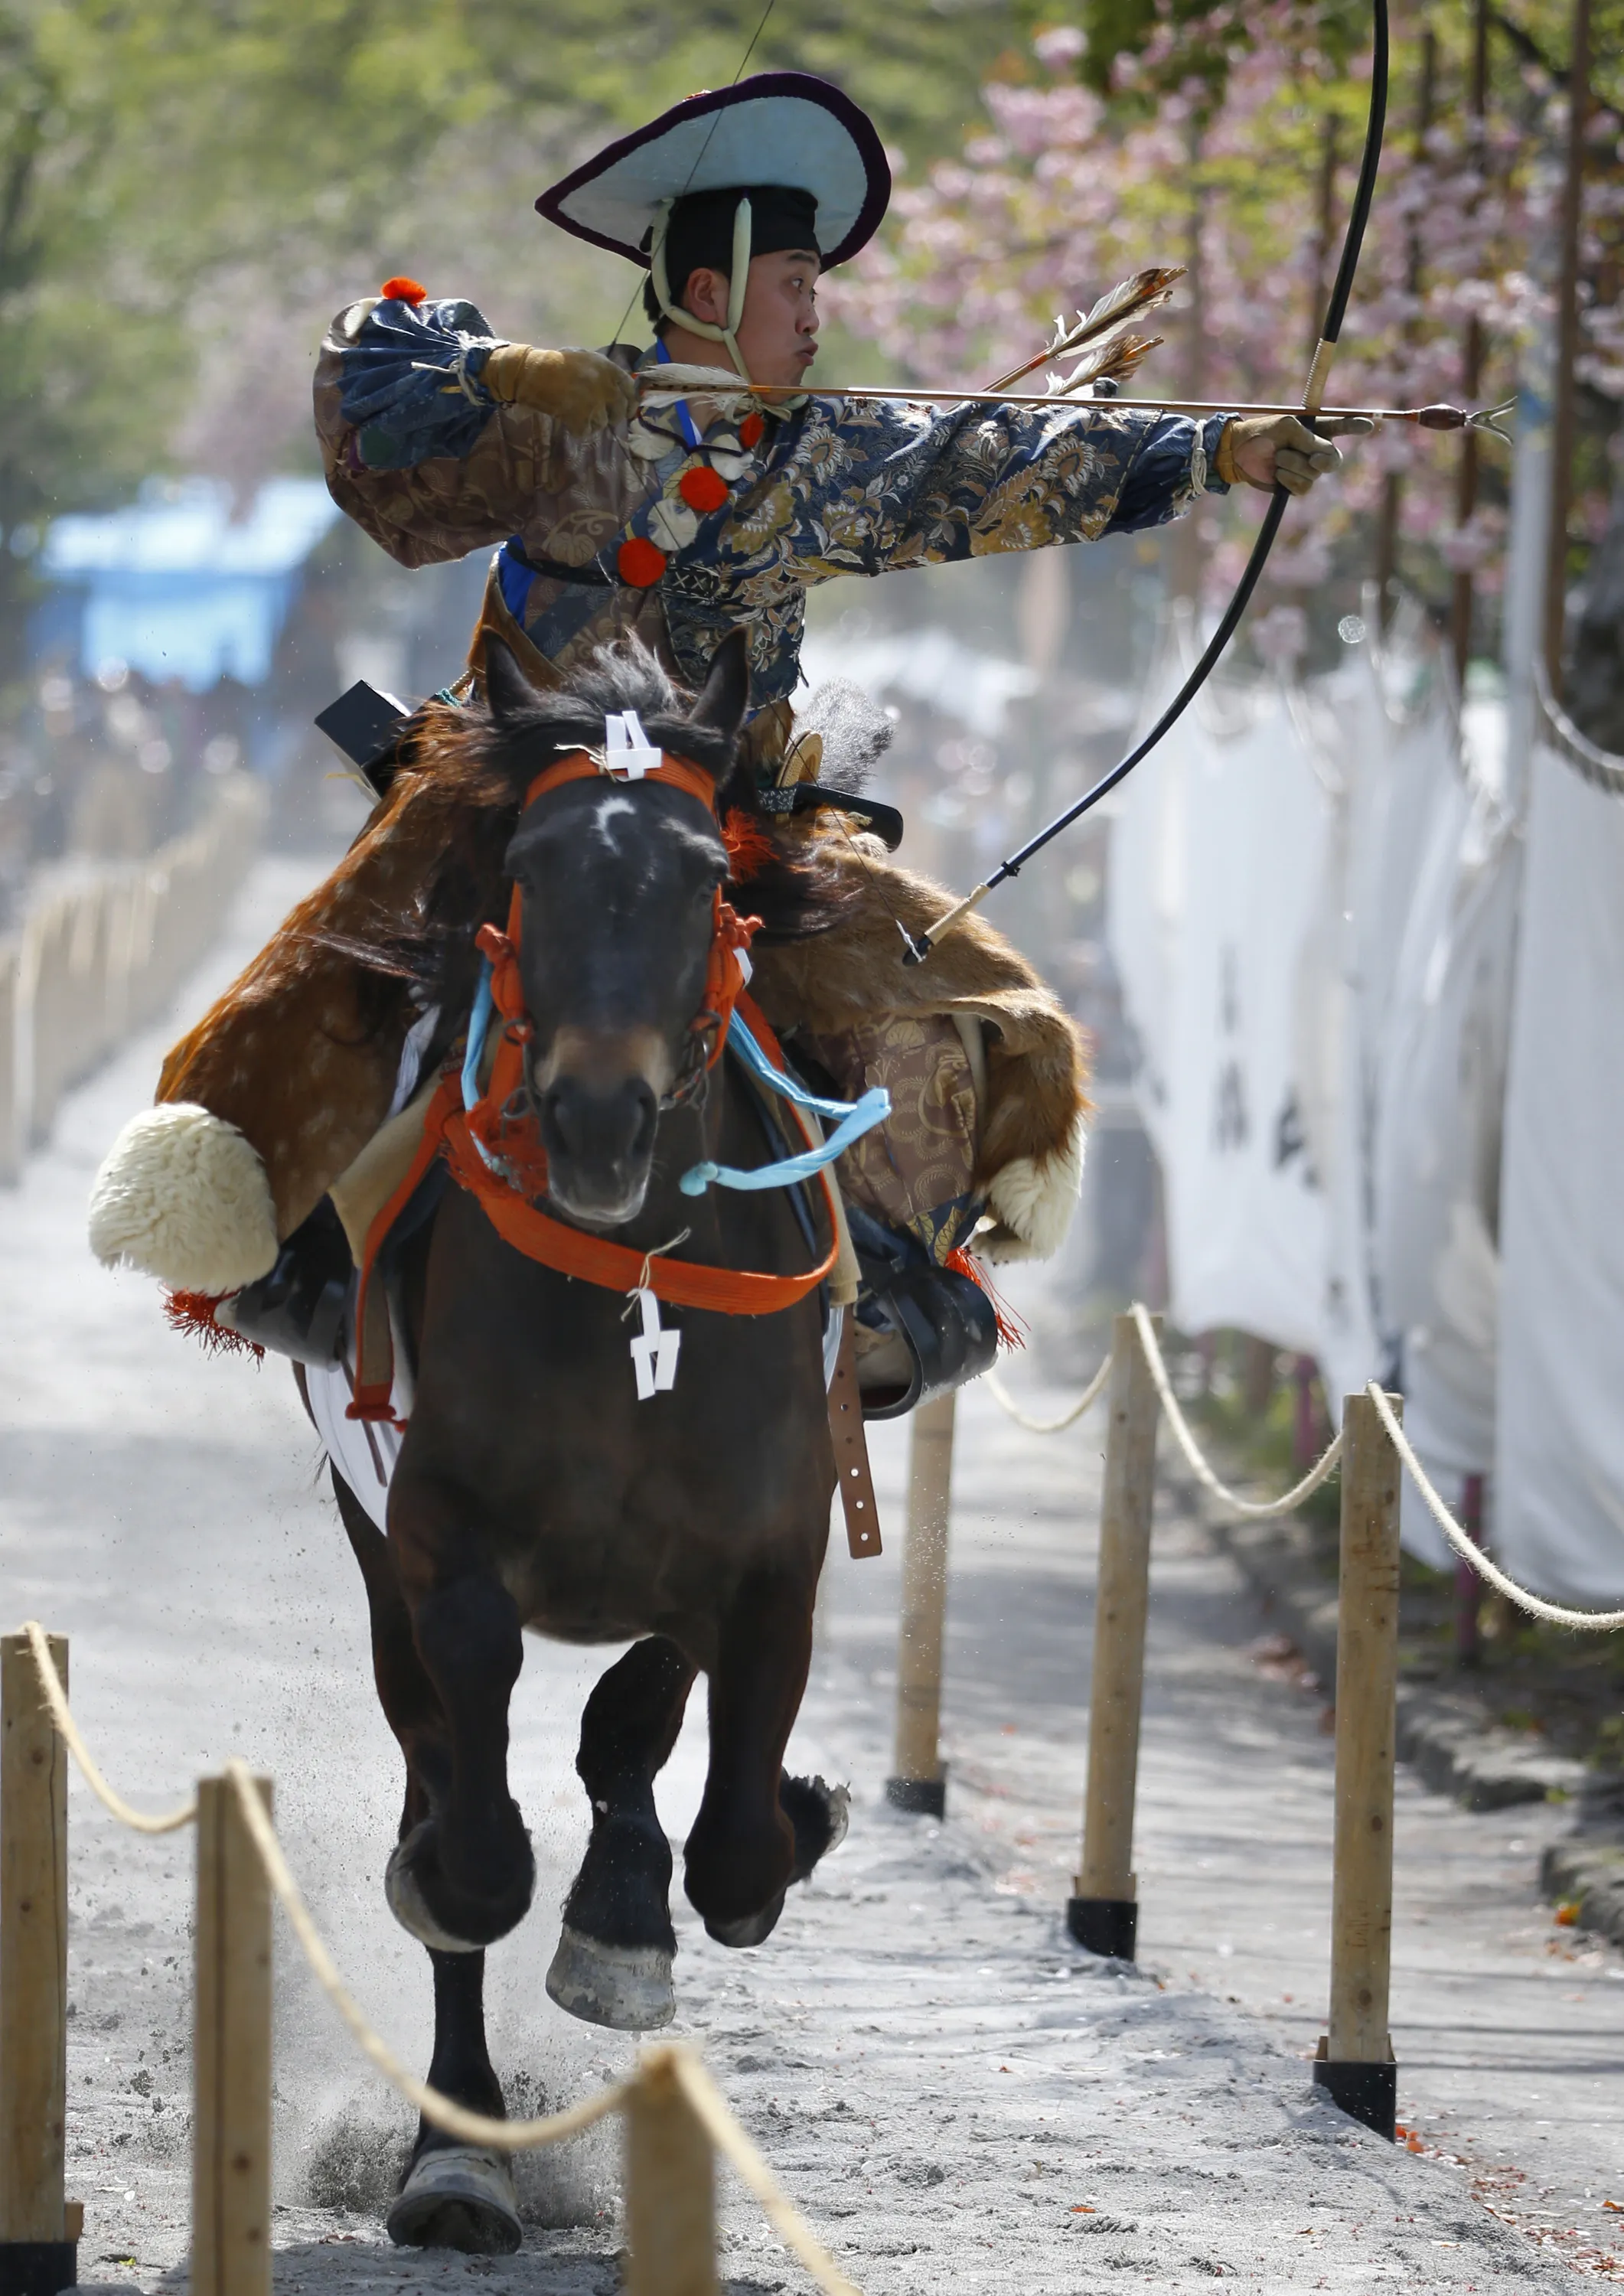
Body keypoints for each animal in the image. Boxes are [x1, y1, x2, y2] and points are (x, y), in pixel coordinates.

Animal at [314, 631, 854, 2252]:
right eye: (532, 869)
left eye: (701, 873)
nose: (599, 1117)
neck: (635, 1286)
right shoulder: (433, 1537)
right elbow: (472, 1853)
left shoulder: (768, 1557)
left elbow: (729, 1842)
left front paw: (686, 1884)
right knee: (445, 1763)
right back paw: (459, 2158)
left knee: (635, 1738)